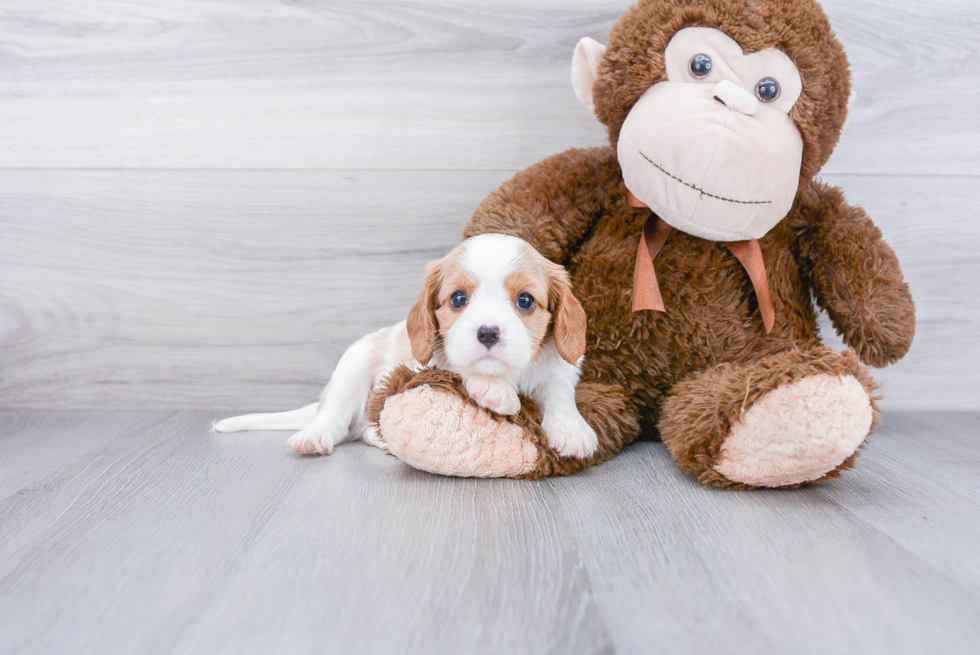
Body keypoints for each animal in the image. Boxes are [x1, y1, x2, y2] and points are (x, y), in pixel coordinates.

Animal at [214, 233, 596, 458]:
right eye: (458, 298)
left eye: (526, 301)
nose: (488, 333)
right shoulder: (426, 359)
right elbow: (456, 365)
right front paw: (493, 389)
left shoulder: (561, 368)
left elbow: (558, 394)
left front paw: (572, 430)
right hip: (353, 363)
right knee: (335, 420)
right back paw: (315, 435)